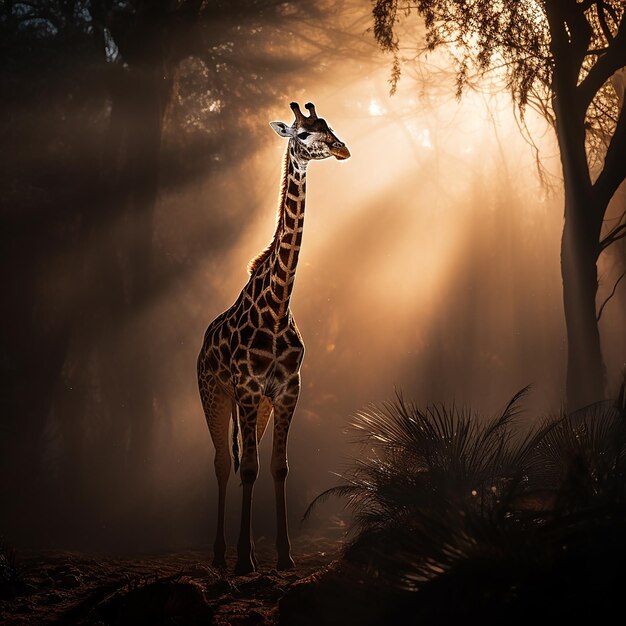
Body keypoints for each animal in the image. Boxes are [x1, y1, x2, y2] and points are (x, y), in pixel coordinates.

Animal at [196, 101, 348, 572]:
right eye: (303, 133)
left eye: (328, 126)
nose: (342, 149)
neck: (278, 306)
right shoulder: (246, 387)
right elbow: (248, 468)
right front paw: (246, 561)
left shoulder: (286, 389)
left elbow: (278, 467)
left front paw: (284, 557)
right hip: (215, 394)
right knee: (222, 462)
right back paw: (220, 555)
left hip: (254, 405)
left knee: (240, 459)